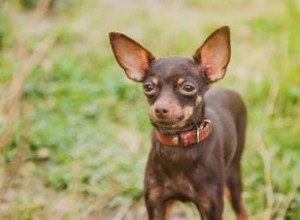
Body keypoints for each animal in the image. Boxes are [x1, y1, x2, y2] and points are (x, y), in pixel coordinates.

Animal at [109, 26, 247, 220]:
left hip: (233, 177)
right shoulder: (156, 203)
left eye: (188, 87)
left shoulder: (211, 208)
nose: (160, 109)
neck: (177, 145)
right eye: (148, 87)